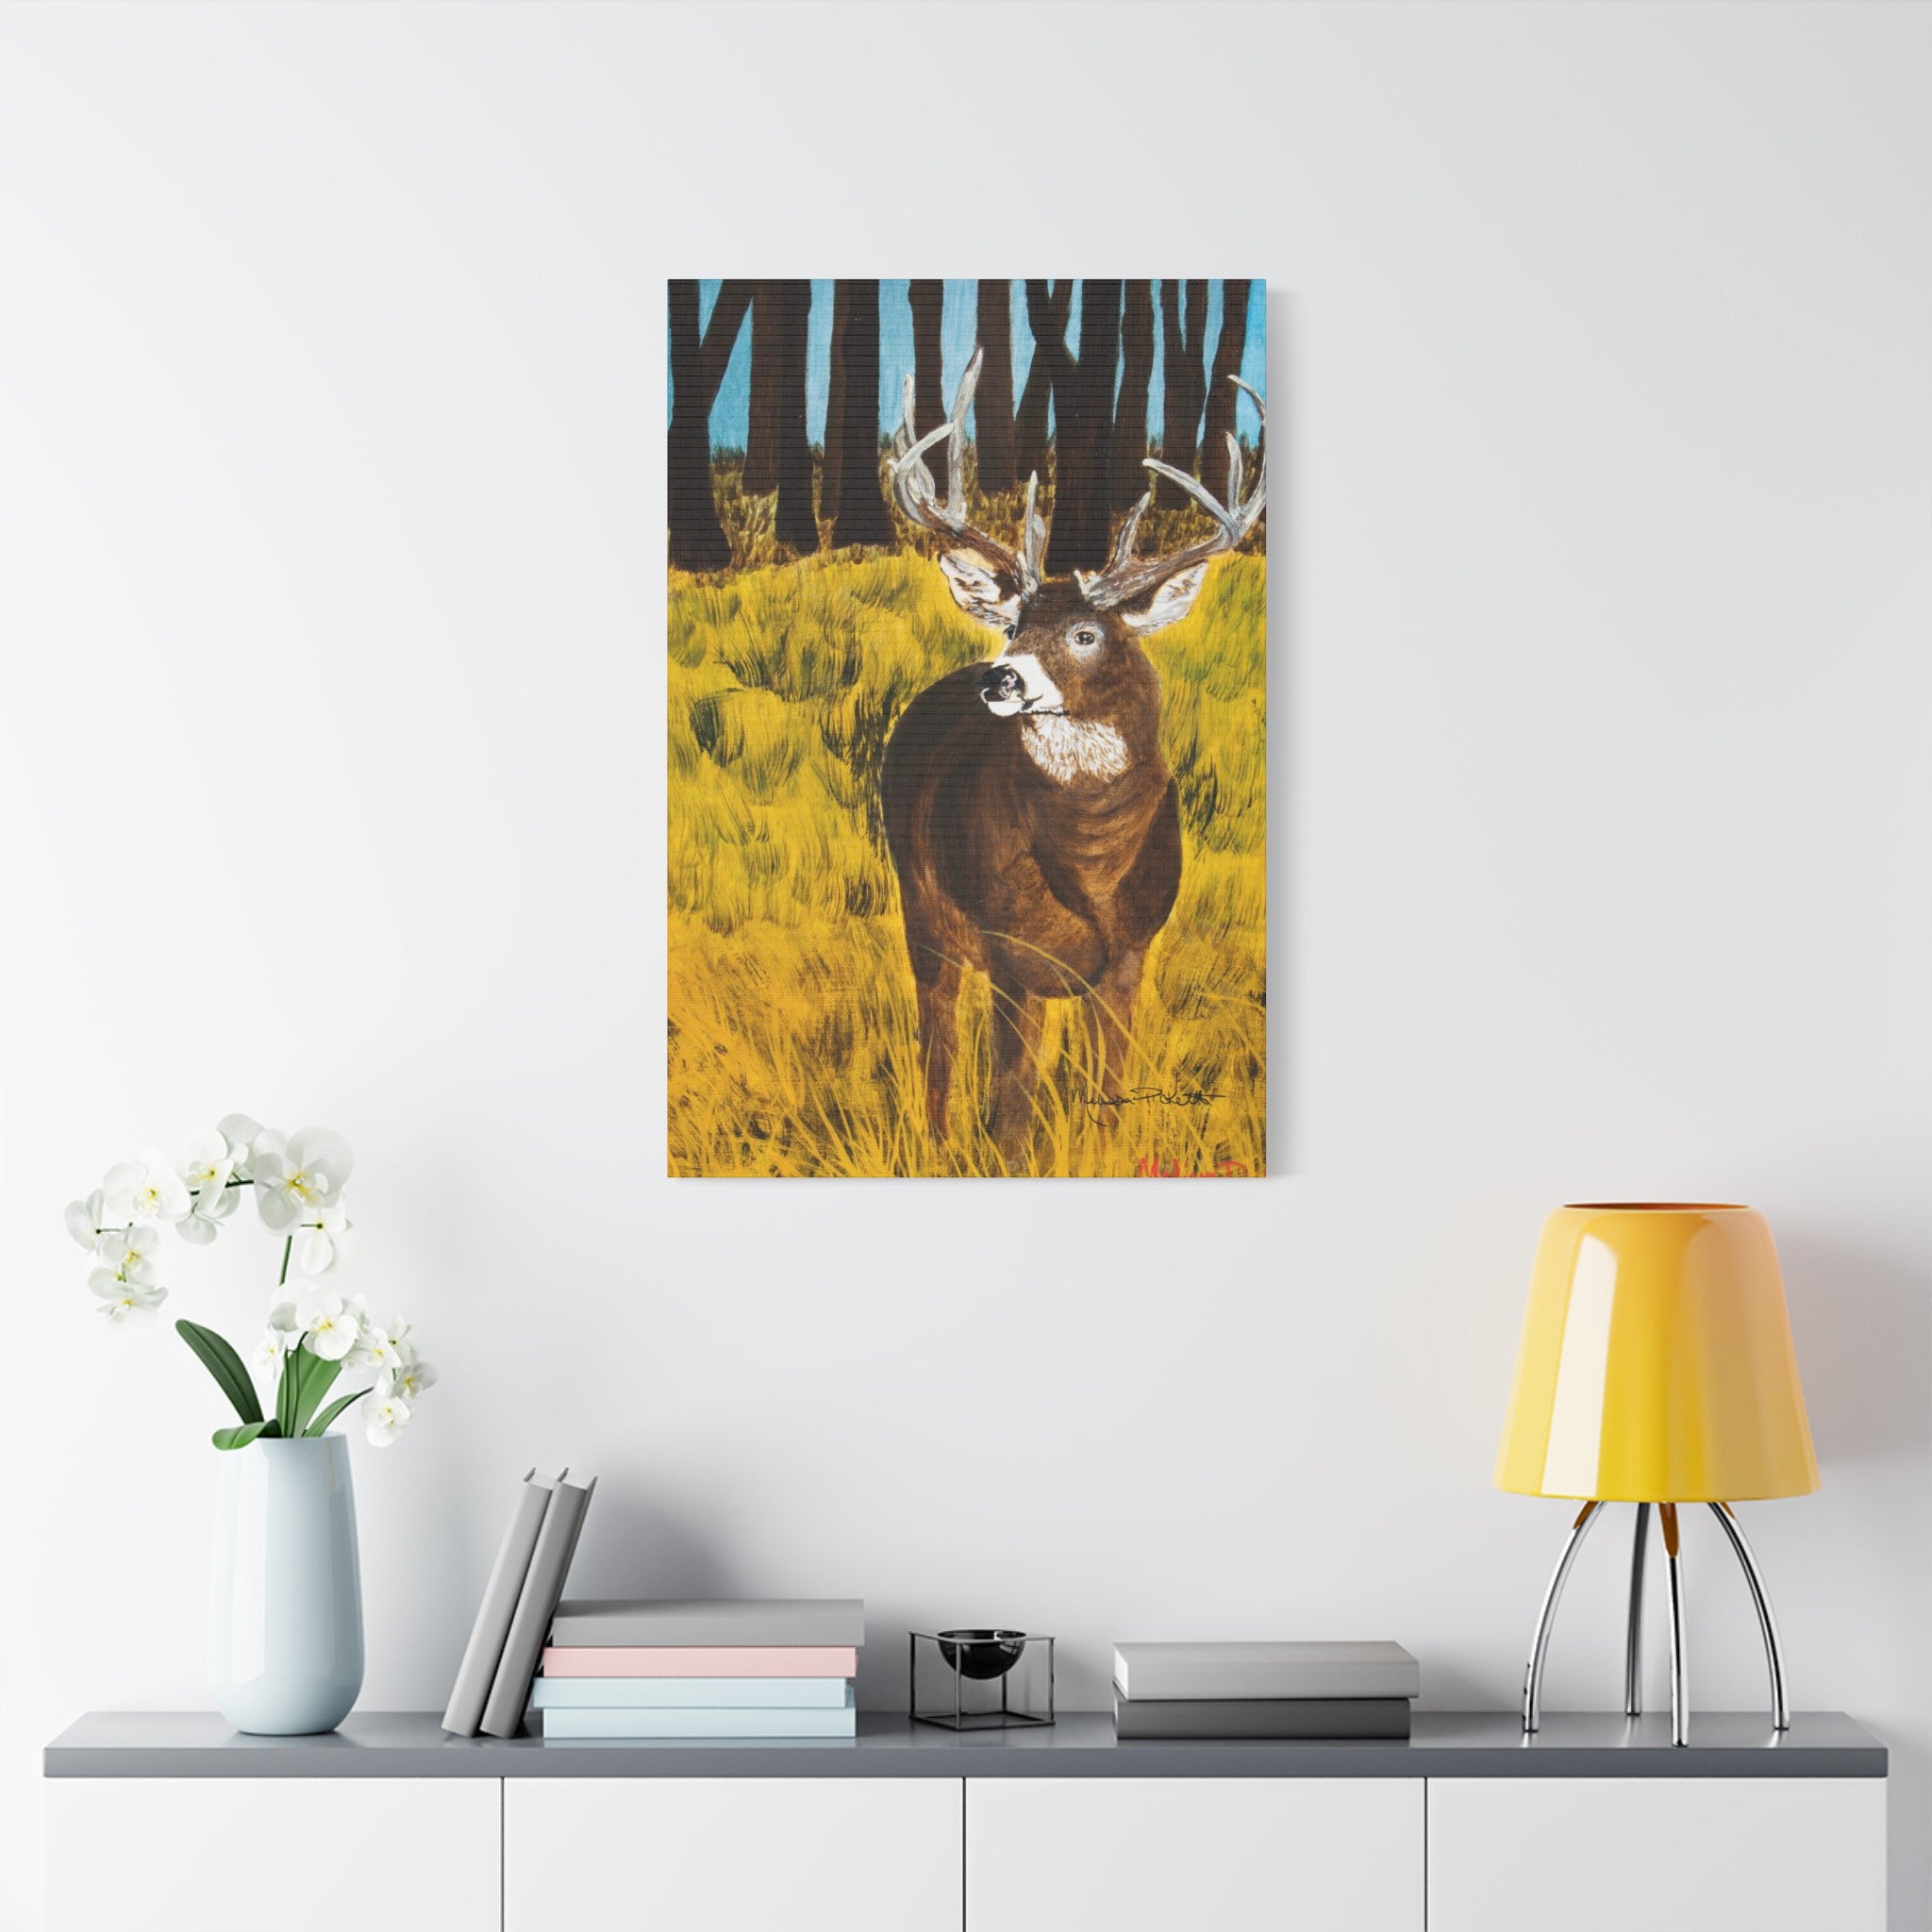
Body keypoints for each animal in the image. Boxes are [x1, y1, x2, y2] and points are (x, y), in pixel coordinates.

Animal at [880, 349, 1265, 1168]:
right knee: (938, 1036)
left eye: (1087, 634)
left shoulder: (1128, 953)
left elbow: (1106, 1084)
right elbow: (1012, 1094)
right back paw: (933, 1143)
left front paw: (1102, 1155)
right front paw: (1006, 1160)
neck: (1089, 863)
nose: (1001, 678)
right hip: (919, 903)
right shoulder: (1007, 949)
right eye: (1016, 623)